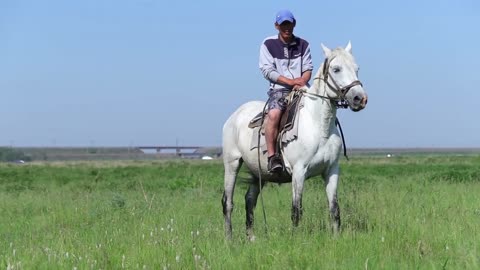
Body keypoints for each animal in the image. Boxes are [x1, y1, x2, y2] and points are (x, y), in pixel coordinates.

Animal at [221, 42, 368, 240]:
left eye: (356, 69)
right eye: (336, 69)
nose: (360, 98)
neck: (319, 125)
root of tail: (234, 116)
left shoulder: (331, 171)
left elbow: (334, 209)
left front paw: (336, 238)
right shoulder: (299, 172)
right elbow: (296, 210)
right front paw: (296, 239)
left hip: (258, 171)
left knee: (249, 200)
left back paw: (251, 238)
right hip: (232, 164)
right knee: (228, 202)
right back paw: (229, 239)